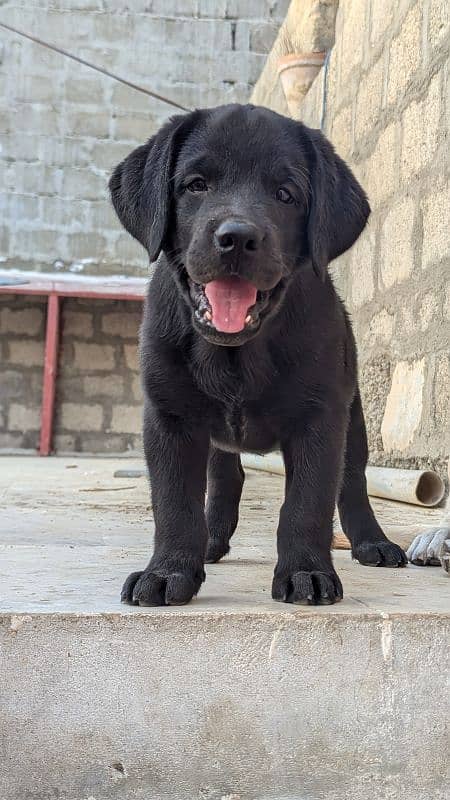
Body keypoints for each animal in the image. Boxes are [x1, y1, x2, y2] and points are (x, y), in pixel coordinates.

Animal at [110, 104, 408, 608]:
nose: (237, 238)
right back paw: (210, 542)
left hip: (353, 420)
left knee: (352, 482)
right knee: (225, 479)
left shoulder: (320, 418)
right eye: (196, 185)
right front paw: (168, 572)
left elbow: (307, 503)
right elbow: (175, 503)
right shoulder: (169, 417)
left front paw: (306, 572)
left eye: (286, 194)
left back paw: (373, 542)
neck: (238, 353)